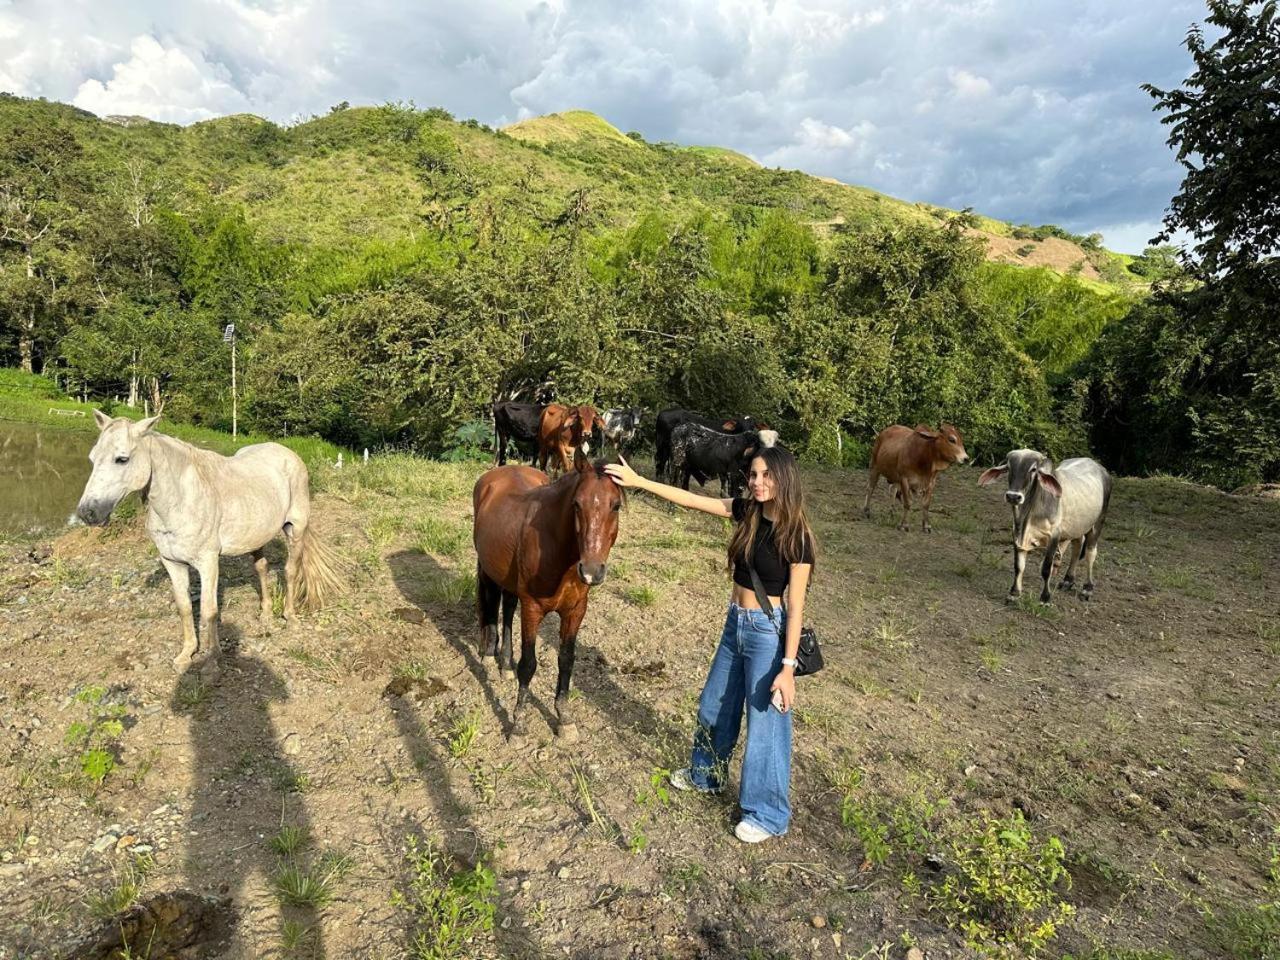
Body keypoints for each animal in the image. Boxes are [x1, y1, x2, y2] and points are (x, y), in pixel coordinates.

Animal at [77, 414, 343, 675]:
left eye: (121, 459)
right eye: (92, 458)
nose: (87, 513)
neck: (180, 500)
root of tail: (288, 453)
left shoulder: (208, 562)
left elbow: (209, 611)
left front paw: (212, 661)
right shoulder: (172, 562)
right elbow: (185, 607)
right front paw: (186, 655)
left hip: (295, 530)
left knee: (290, 571)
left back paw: (290, 617)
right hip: (257, 535)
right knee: (262, 568)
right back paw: (266, 614)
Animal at [476, 453, 624, 742]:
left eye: (616, 506)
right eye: (576, 504)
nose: (591, 571)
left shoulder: (575, 611)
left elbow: (566, 661)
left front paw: (564, 719)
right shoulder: (532, 609)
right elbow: (528, 665)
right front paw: (518, 725)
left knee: (508, 607)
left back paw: (505, 664)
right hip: (489, 570)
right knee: (492, 603)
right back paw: (489, 656)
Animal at [977, 450, 1111, 601]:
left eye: (1033, 469)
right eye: (1009, 467)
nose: (1013, 496)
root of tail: (1100, 468)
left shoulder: (1054, 536)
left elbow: (1046, 568)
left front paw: (1045, 597)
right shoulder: (1017, 533)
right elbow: (1019, 566)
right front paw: (1014, 593)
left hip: (1098, 522)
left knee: (1090, 553)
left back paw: (1087, 588)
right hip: (1078, 525)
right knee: (1077, 546)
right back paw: (1068, 580)